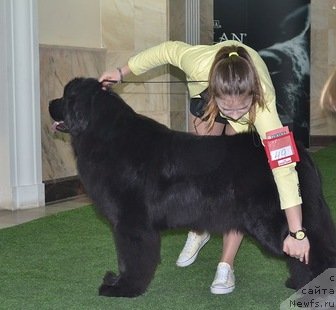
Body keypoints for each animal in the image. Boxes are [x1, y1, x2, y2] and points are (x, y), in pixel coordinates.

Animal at [48, 77, 334, 298]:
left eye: (66, 96)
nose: (50, 103)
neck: (105, 136)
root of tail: (300, 151)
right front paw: (117, 282)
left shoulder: (131, 222)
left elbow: (131, 258)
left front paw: (124, 288)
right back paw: (298, 283)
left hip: (272, 220)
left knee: (315, 252)